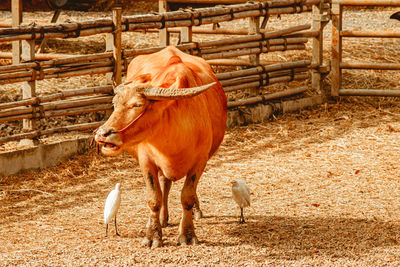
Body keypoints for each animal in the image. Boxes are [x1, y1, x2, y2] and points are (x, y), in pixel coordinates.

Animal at [92, 45, 227, 248]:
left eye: (137, 105)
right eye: (115, 104)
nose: (102, 134)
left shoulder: (200, 162)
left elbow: (187, 196)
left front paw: (187, 234)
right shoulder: (146, 162)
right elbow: (154, 198)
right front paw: (153, 235)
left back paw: (196, 211)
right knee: (165, 185)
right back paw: (163, 218)